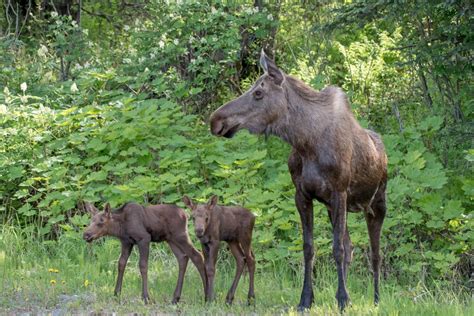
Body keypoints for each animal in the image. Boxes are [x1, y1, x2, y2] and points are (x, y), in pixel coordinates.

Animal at [209, 50, 386, 310]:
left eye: (259, 93)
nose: (216, 120)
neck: (306, 142)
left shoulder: (339, 192)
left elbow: (337, 248)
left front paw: (343, 299)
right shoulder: (303, 195)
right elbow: (309, 248)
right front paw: (307, 299)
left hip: (376, 203)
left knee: (375, 253)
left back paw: (376, 299)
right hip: (335, 208)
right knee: (351, 245)